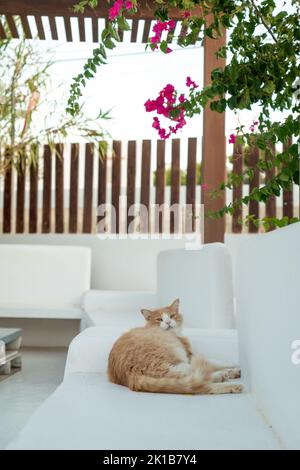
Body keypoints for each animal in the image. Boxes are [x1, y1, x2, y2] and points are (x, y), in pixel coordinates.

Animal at [108, 300, 244, 394]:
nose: (168, 322)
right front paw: (233, 365)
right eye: (159, 319)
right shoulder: (190, 356)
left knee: (197, 385)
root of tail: (130, 375)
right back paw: (226, 379)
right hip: (174, 360)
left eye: (172, 316)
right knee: (198, 379)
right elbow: (217, 362)